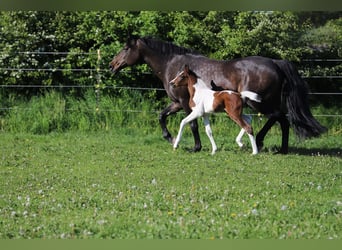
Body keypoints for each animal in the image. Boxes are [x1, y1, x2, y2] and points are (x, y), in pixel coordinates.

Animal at [109, 36, 326, 153]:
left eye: (126, 48)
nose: (112, 65)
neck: (172, 64)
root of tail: (276, 62)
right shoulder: (177, 103)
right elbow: (162, 116)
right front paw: (170, 138)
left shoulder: (185, 104)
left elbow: (193, 125)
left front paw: (195, 147)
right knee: (282, 120)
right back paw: (281, 149)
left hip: (260, 103)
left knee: (277, 117)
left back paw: (260, 142)